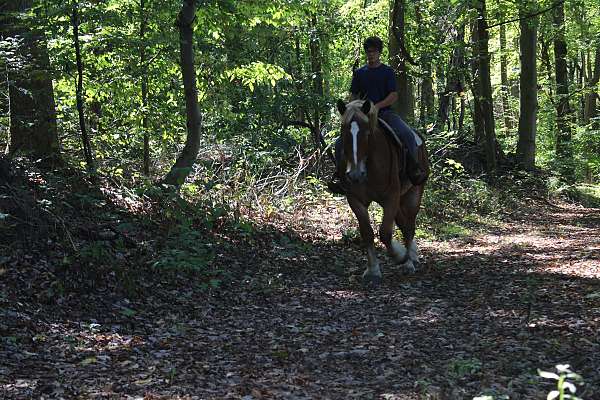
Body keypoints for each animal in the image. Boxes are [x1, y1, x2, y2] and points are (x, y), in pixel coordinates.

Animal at [336, 98, 428, 282]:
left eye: (367, 133)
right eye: (344, 133)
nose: (355, 174)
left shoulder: (391, 197)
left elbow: (385, 232)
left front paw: (400, 256)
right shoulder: (355, 199)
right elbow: (367, 233)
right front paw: (372, 270)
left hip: (413, 195)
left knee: (409, 227)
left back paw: (409, 262)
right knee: (403, 224)